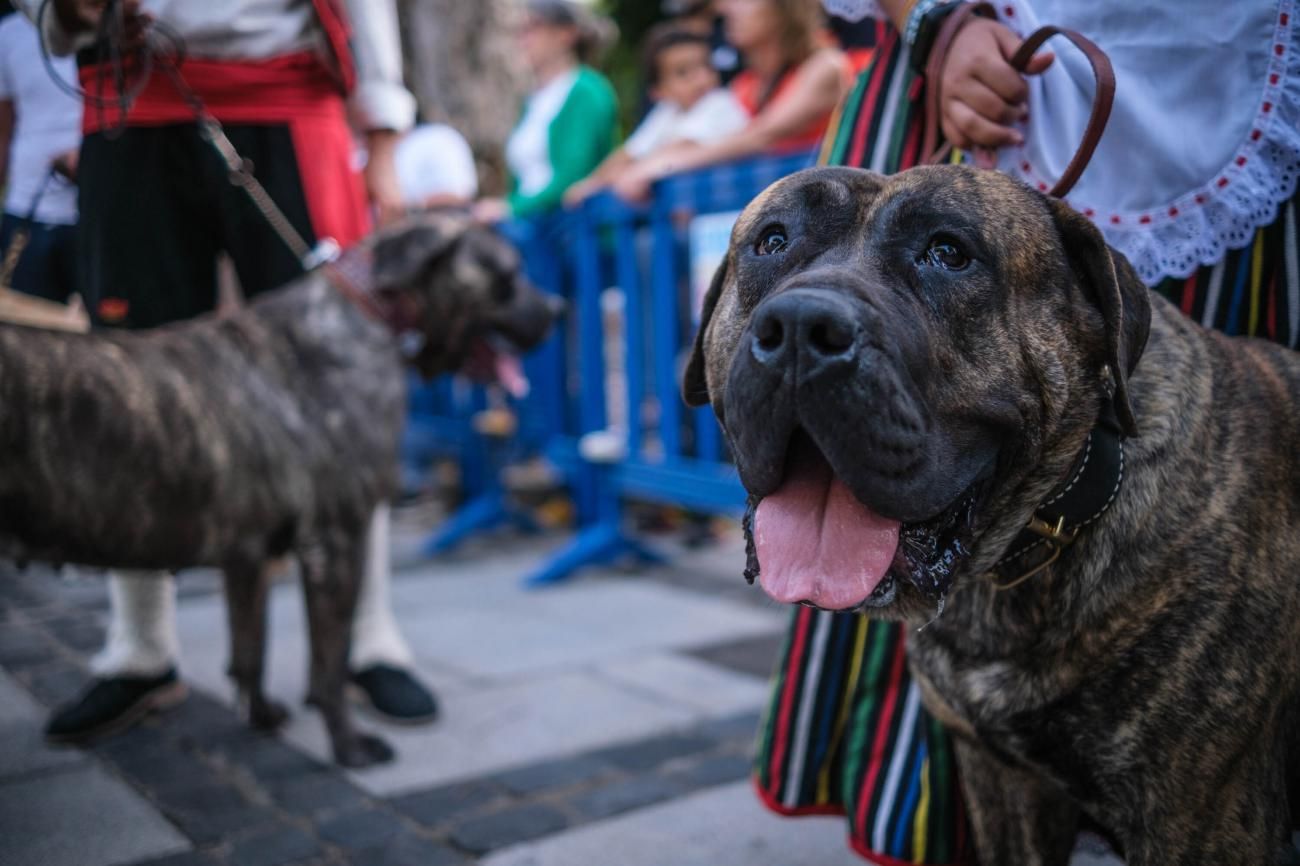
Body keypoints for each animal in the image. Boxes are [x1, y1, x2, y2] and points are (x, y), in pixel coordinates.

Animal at [0, 211, 559, 764]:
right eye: (509, 275)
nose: (560, 308)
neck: (366, 314)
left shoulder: (246, 553)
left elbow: (249, 646)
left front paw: (262, 715)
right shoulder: (336, 541)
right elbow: (329, 659)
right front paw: (349, 745)